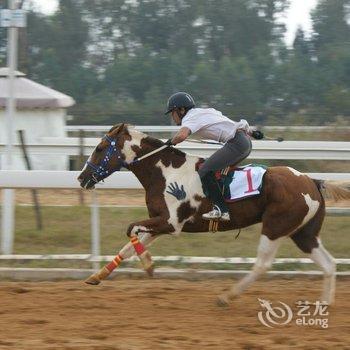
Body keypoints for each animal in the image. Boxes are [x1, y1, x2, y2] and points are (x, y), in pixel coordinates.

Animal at [78, 124, 348, 304]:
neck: (166, 172)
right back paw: (324, 303)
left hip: (275, 227)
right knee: (329, 264)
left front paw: (149, 266)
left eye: (100, 148)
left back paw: (227, 296)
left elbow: (130, 229)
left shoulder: (170, 223)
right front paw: (97, 275)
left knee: (262, 264)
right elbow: (128, 245)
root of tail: (312, 181)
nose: (81, 178)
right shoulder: (159, 223)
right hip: (304, 233)